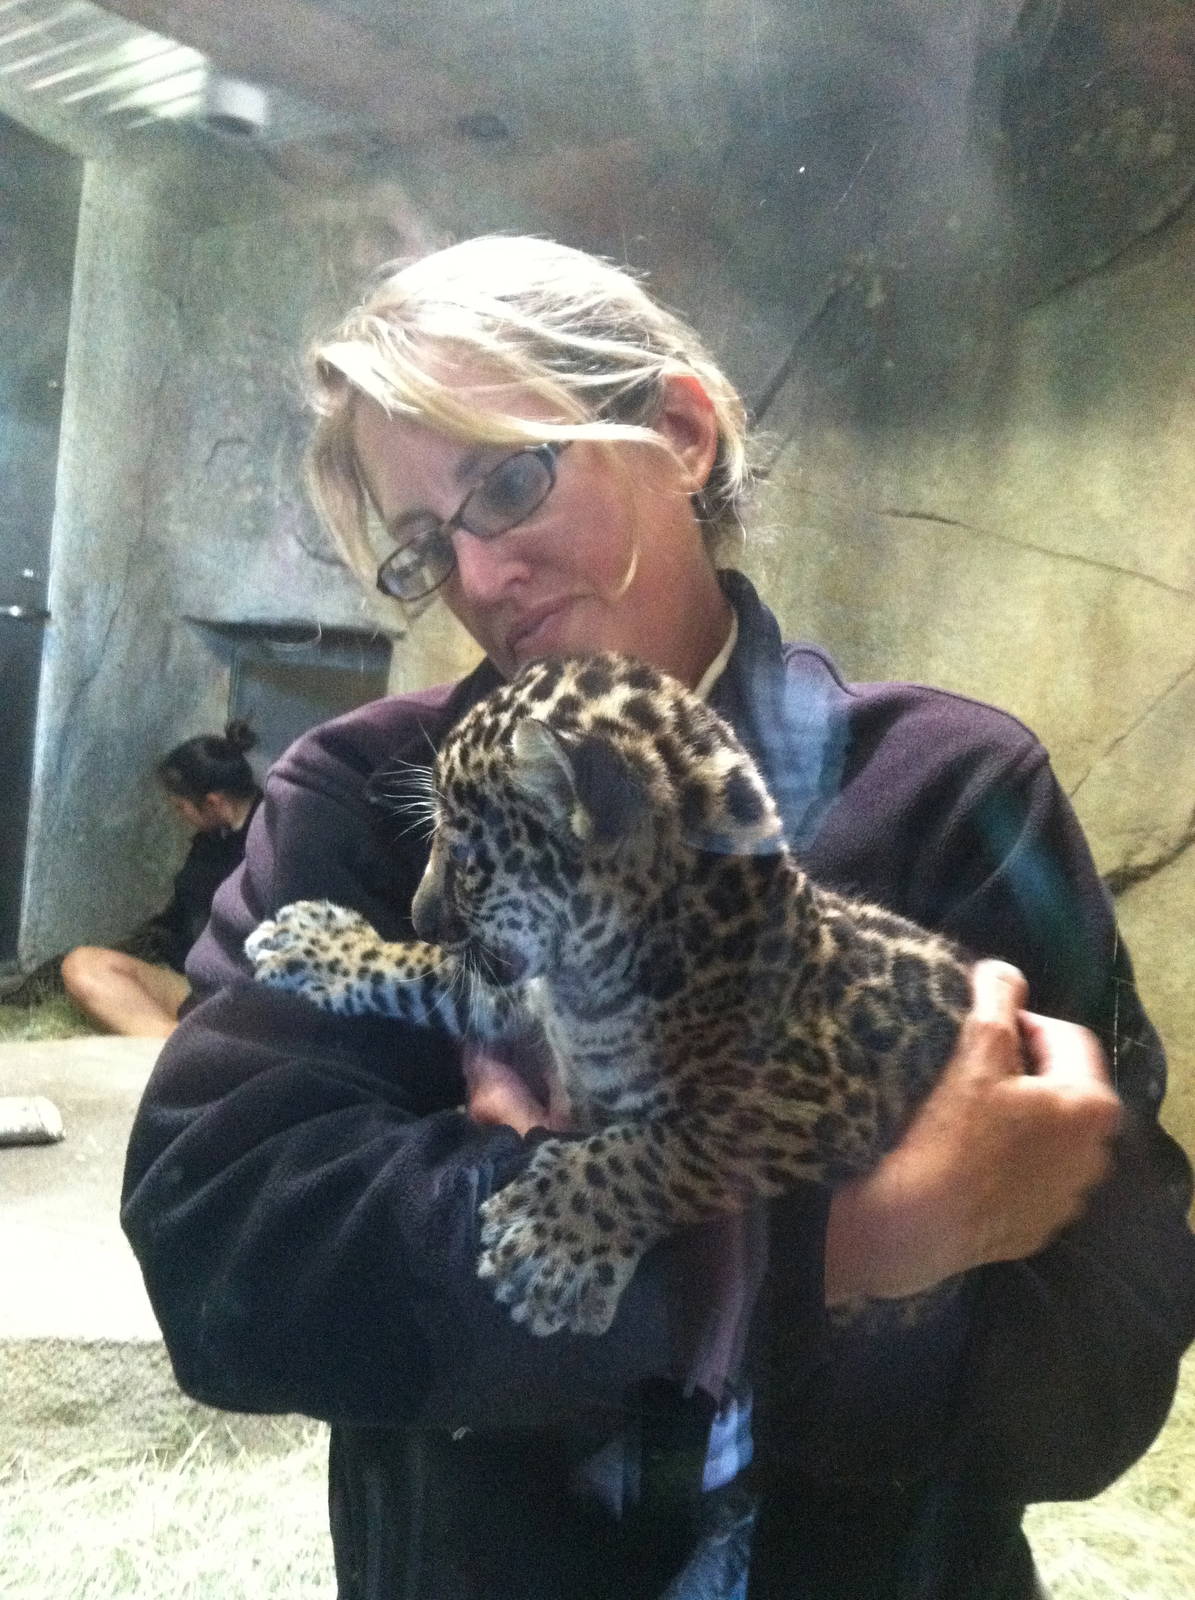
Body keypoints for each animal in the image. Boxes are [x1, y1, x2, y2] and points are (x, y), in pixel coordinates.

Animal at [246, 652, 974, 1338]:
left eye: (466, 850)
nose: (420, 915)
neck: (585, 982)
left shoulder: (816, 1099)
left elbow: (673, 1146)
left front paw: (550, 1239)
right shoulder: (519, 994)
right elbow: (425, 972)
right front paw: (314, 941)